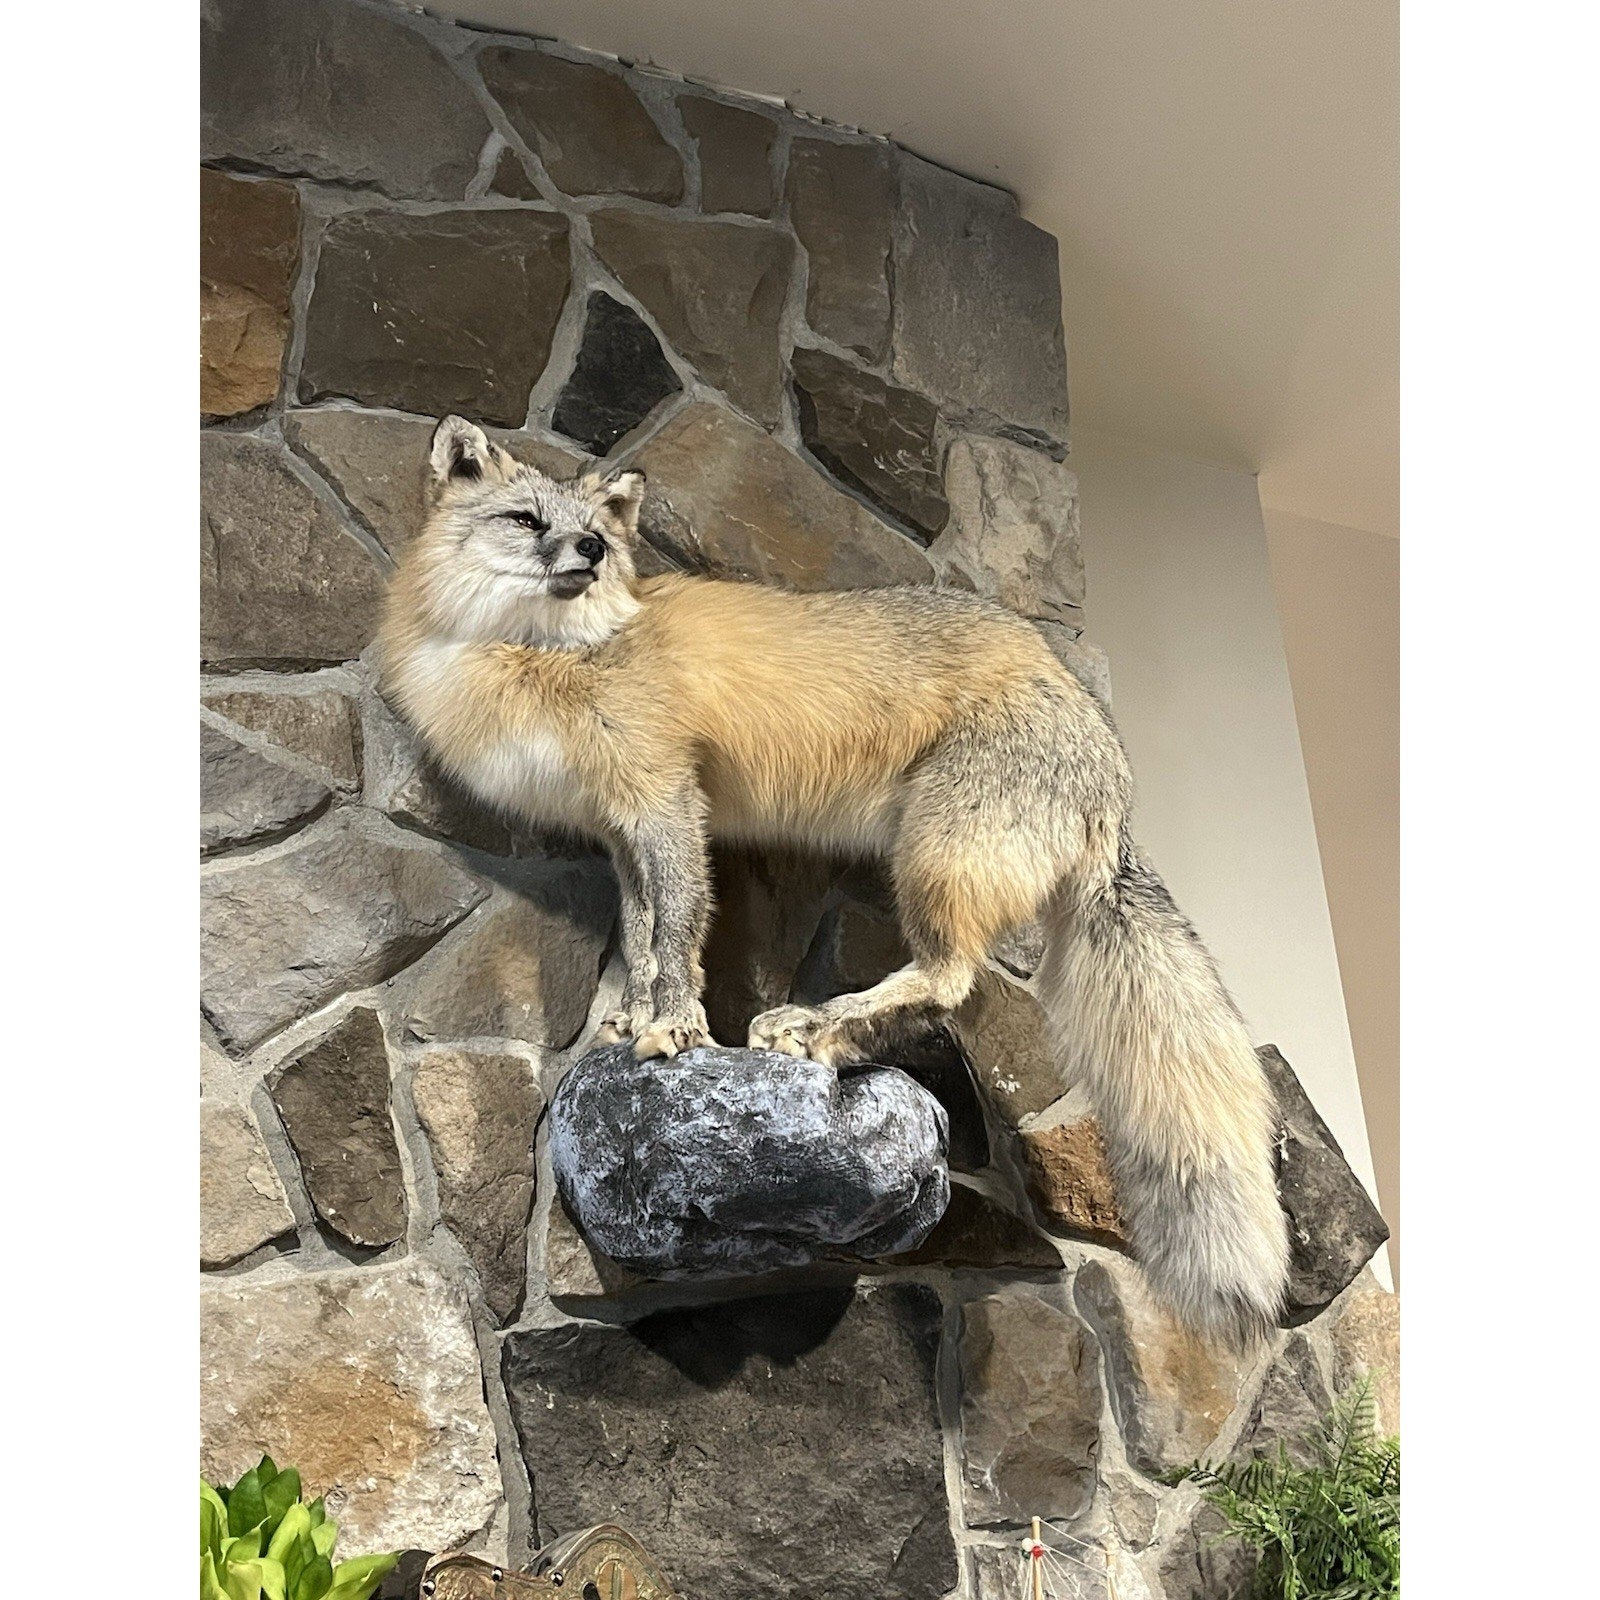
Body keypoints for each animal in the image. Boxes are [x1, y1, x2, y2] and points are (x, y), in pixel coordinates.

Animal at [379, 414, 1291, 1343]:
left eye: (593, 529)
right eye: (526, 520)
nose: (593, 550)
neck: (549, 658)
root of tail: (1110, 757)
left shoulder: (668, 803)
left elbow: (678, 931)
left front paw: (675, 1027)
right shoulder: (618, 831)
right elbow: (639, 936)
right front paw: (629, 1019)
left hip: (930, 860)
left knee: (951, 980)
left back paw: (817, 1024)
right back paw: (826, 1035)